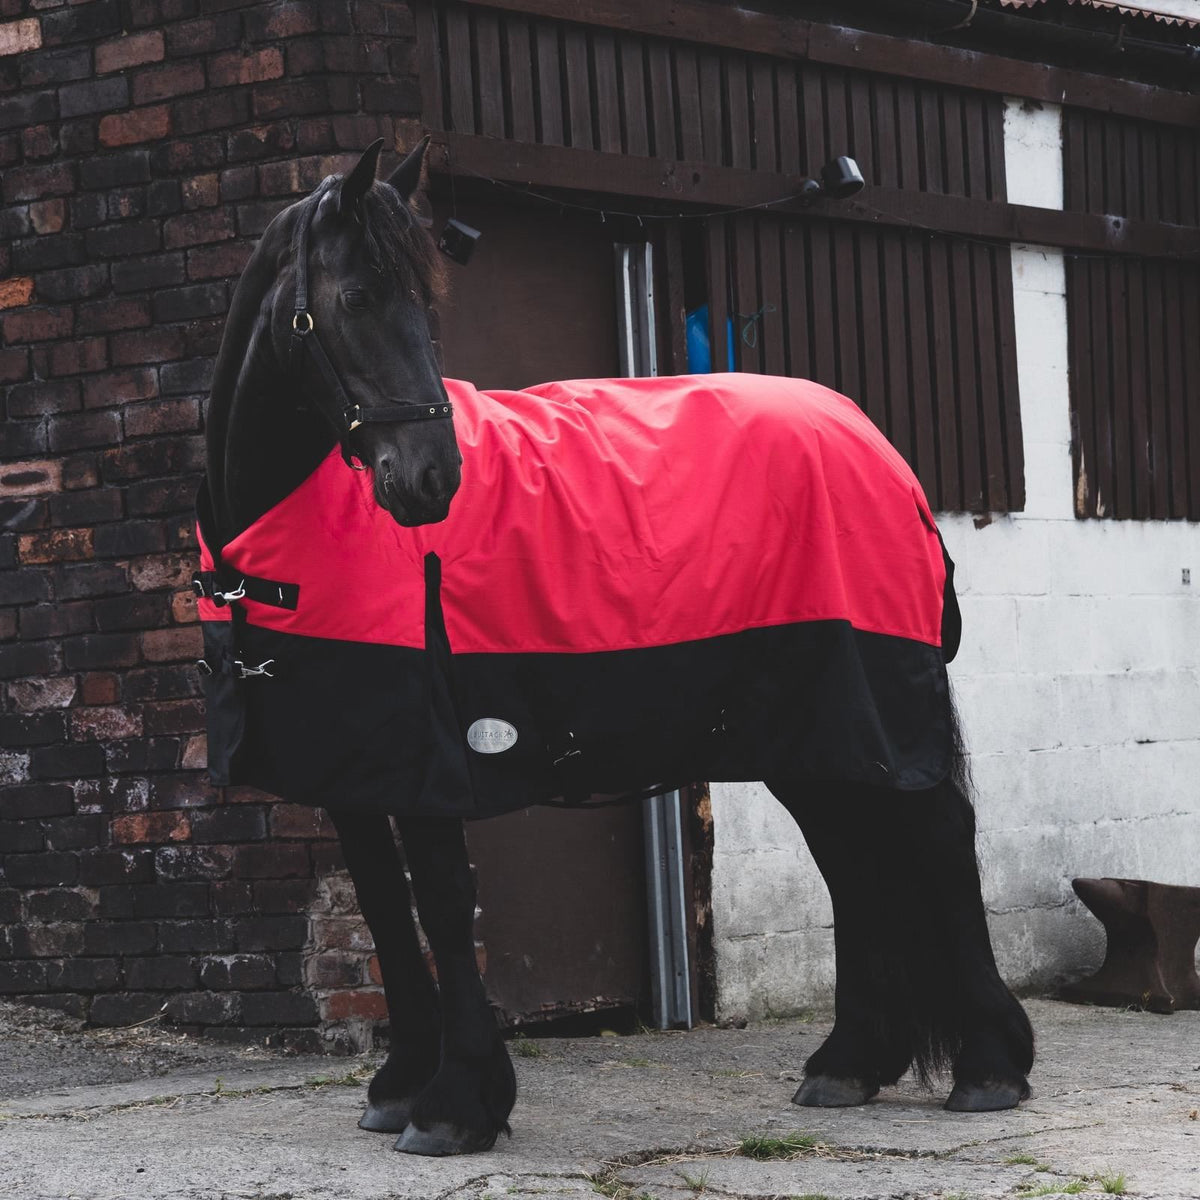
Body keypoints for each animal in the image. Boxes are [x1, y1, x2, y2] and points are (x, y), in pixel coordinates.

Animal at [196, 138, 1035, 1157]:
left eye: (425, 307)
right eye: (355, 298)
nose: (432, 481)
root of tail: (878, 449)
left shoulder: (431, 754)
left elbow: (441, 901)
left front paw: (455, 1105)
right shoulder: (347, 767)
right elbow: (389, 910)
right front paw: (402, 1086)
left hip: (872, 695)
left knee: (940, 837)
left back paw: (990, 1068)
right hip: (810, 725)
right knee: (852, 857)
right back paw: (850, 1063)